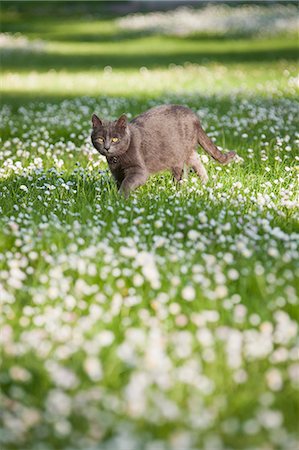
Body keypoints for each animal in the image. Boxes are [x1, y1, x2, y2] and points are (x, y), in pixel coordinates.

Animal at [91, 106, 237, 198]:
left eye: (115, 139)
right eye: (100, 139)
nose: (107, 147)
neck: (117, 160)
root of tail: (194, 117)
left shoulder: (138, 170)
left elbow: (127, 183)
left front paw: (120, 197)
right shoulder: (116, 173)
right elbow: (120, 182)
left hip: (179, 153)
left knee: (181, 172)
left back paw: (180, 188)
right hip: (186, 150)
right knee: (196, 160)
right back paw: (205, 182)